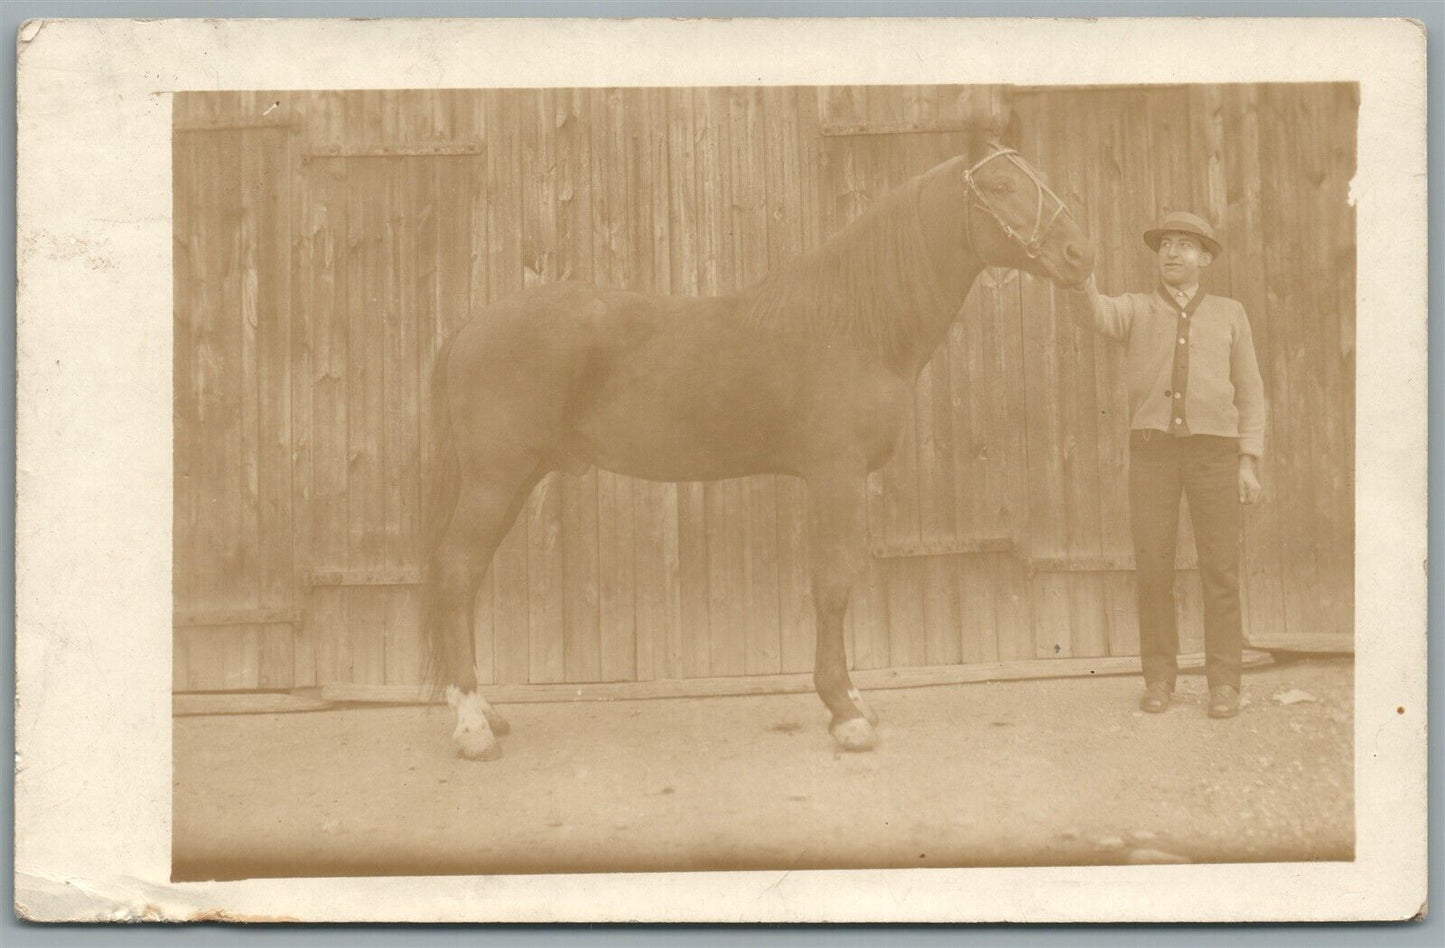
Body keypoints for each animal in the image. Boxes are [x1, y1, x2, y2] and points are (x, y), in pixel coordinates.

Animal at [421, 127, 1086, 763]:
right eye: (999, 187)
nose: (1080, 255)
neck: (854, 322)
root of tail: (468, 328)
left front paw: (854, 704)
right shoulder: (835, 474)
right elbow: (833, 584)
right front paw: (844, 712)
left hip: (512, 483)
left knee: (466, 580)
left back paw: (485, 711)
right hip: (495, 481)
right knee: (455, 575)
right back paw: (472, 726)